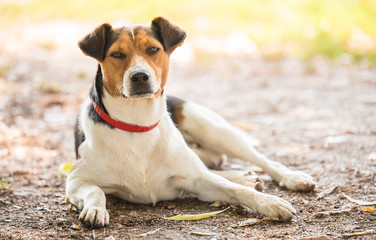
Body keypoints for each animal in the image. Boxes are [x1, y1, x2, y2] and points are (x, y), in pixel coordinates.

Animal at [66, 16, 316, 227]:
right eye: (117, 54)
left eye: (153, 49)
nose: (140, 77)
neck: (138, 124)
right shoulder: (75, 180)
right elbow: (95, 191)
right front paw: (96, 209)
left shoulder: (200, 182)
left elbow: (237, 190)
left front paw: (269, 202)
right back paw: (243, 176)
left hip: (214, 130)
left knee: (259, 160)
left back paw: (292, 178)